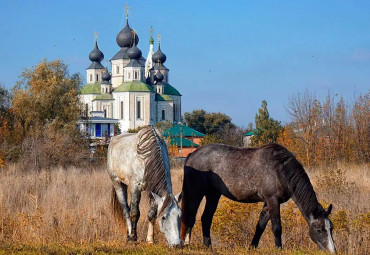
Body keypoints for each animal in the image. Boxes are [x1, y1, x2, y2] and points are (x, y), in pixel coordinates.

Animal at [181, 143, 336, 253]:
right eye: (318, 229)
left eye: (331, 228)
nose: (332, 251)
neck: (280, 169)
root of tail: (192, 155)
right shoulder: (273, 201)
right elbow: (276, 227)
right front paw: (279, 249)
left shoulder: (268, 203)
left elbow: (260, 226)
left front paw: (252, 247)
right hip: (196, 193)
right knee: (191, 217)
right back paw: (187, 244)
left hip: (213, 194)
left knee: (206, 218)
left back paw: (209, 247)